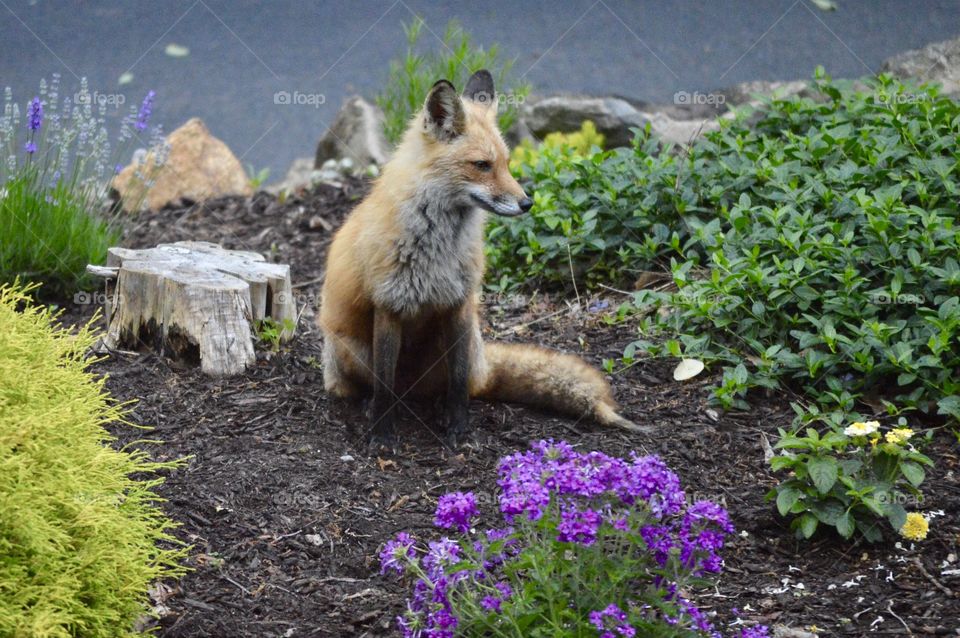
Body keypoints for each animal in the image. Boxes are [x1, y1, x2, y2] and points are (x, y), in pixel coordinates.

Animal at [318, 69, 647, 448]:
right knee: (373, 387)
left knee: (462, 383)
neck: (438, 249)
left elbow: (459, 383)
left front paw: (458, 428)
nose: (527, 203)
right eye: (482, 166)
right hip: (350, 350)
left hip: (463, 343)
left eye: (506, 164)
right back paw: (369, 405)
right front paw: (383, 434)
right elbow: (384, 385)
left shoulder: (460, 303)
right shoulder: (389, 305)